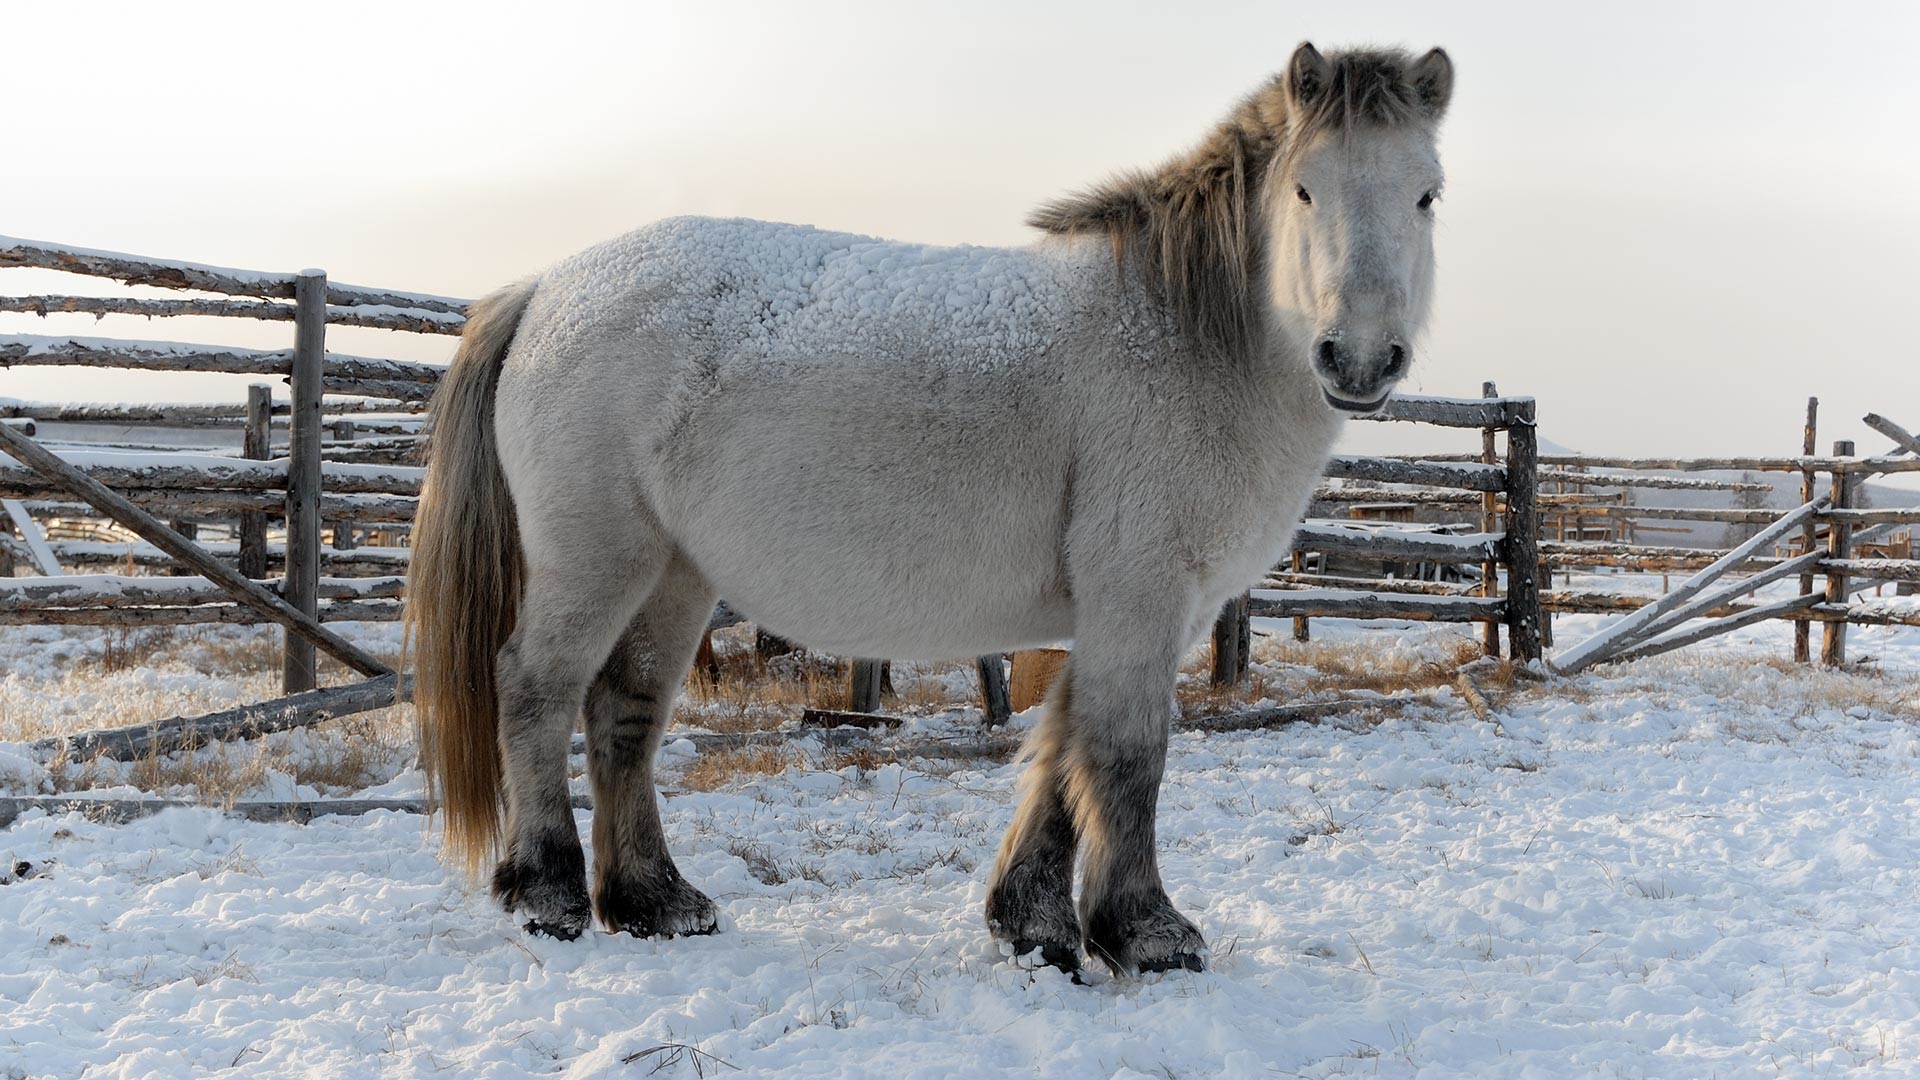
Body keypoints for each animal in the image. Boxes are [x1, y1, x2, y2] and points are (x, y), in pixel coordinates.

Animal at [408, 42, 1451, 972]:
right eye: (1305, 189)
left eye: (1426, 193)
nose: (1359, 358)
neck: (1181, 336)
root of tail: (547, 287)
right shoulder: (1142, 597)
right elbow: (1124, 755)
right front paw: (1145, 933)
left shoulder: (1129, 611)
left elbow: (1063, 751)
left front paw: (1034, 925)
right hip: (597, 560)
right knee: (536, 689)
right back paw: (546, 893)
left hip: (674, 572)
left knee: (623, 710)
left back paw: (656, 901)